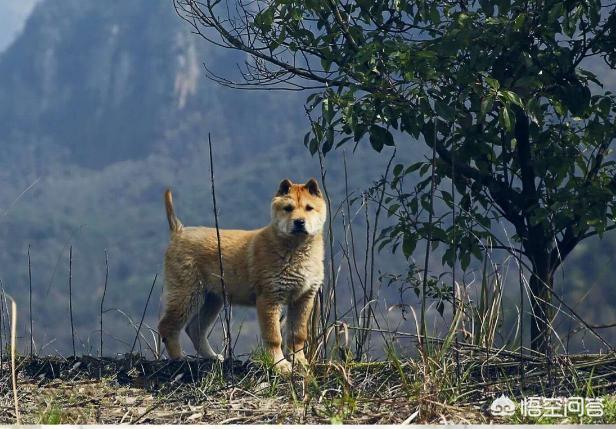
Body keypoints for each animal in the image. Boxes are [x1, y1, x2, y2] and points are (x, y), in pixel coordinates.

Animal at [159, 177, 328, 372]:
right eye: (288, 208)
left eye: (309, 208)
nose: (299, 222)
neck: (295, 249)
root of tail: (178, 232)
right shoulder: (269, 298)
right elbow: (273, 336)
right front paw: (279, 364)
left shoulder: (304, 298)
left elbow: (298, 334)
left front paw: (299, 361)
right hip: (186, 294)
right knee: (168, 326)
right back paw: (179, 358)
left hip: (212, 298)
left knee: (195, 329)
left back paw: (213, 357)